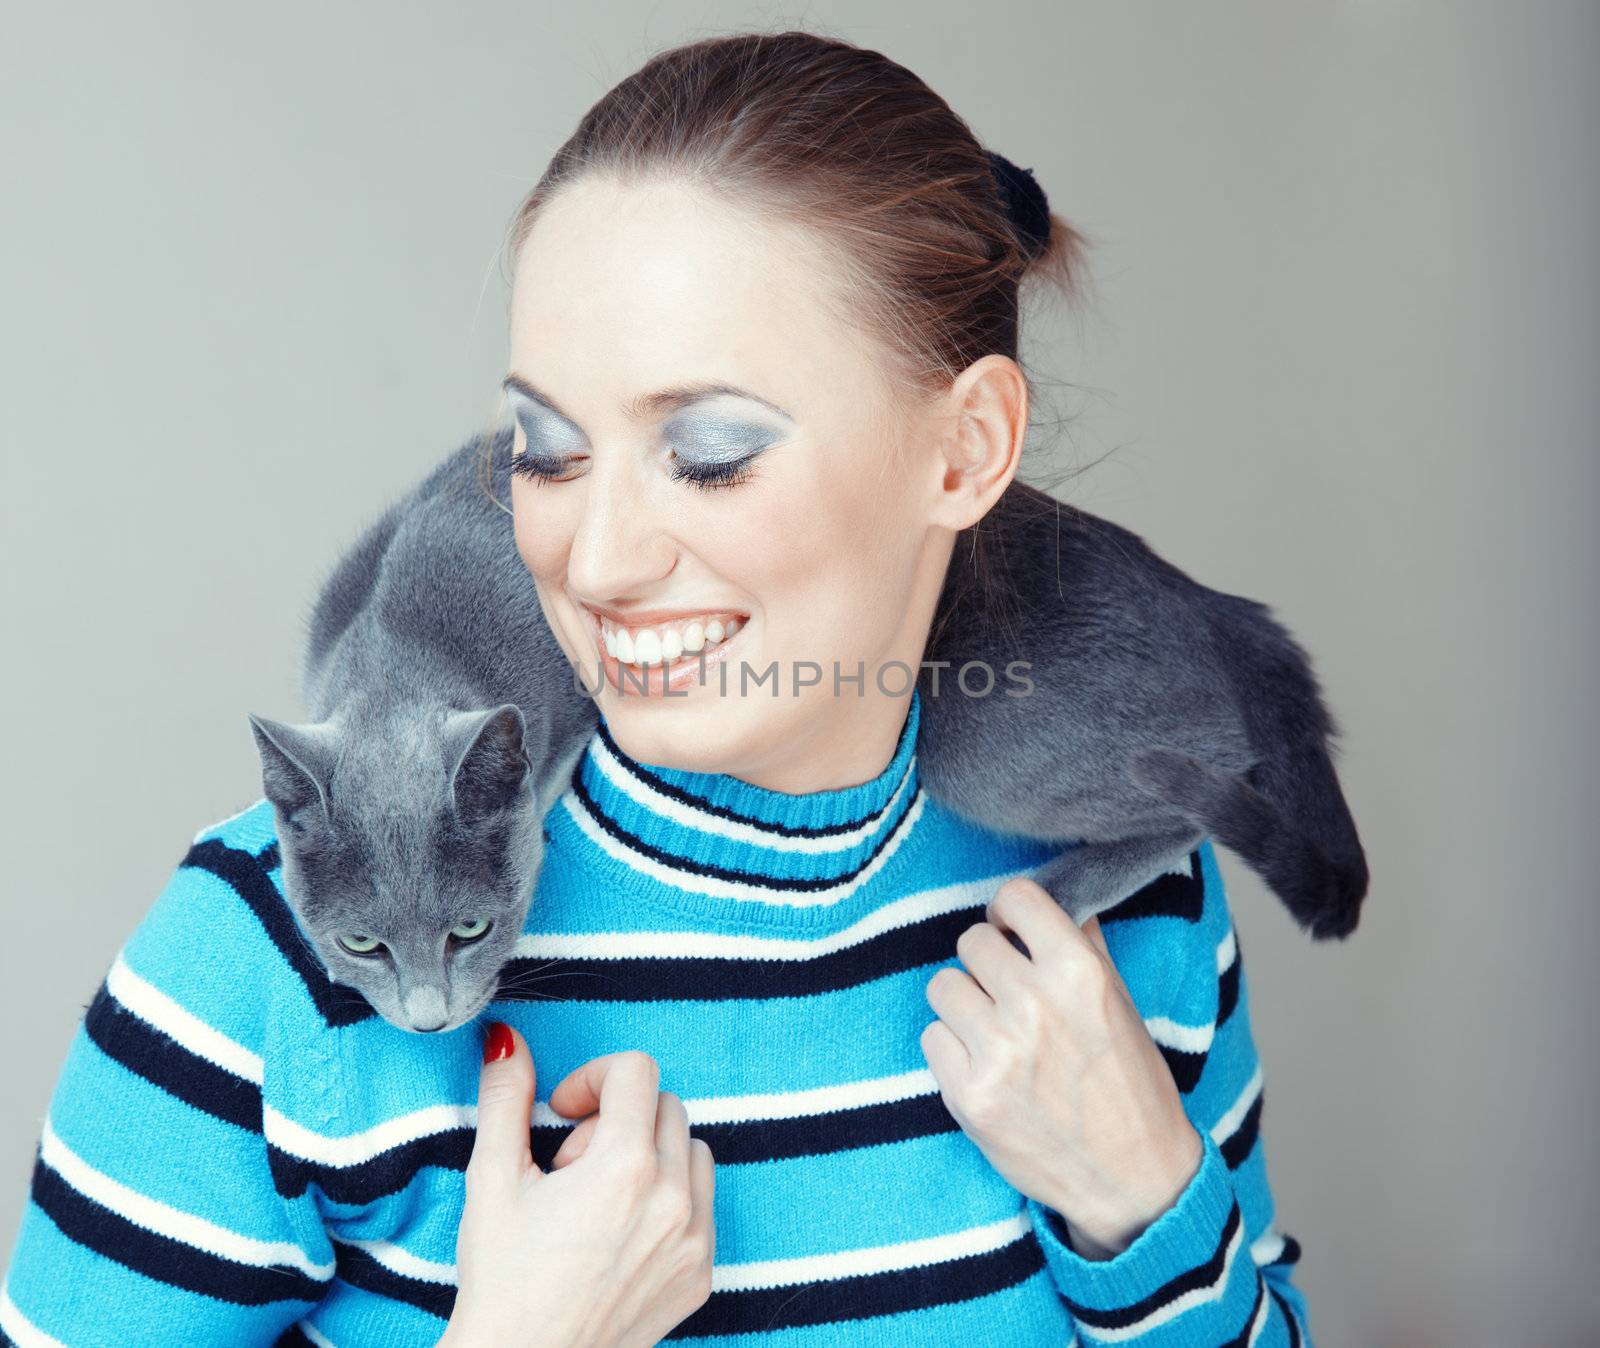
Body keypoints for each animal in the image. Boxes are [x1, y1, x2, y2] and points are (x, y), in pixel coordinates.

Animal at [246, 425, 1363, 1037]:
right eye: (360, 943)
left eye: (470, 930)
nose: (428, 1015)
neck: (409, 639)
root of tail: (1222, 608)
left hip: (981, 739)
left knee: (1192, 803)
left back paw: (1057, 885)